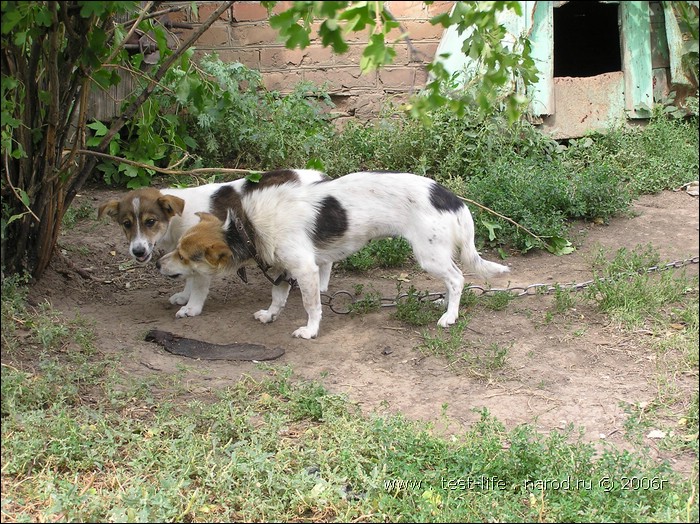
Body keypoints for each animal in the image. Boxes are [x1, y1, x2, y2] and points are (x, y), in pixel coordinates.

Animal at [98, 169, 330, 316]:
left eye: (150, 222)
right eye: (126, 224)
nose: (137, 251)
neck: (178, 219)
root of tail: (322, 176)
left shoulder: (202, 257)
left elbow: (198, 285)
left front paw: (192, 308)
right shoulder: (185, 255)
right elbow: (187, 276)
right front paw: (184, 296)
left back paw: (320, 286)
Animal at [157, 170, 508, 338]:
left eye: (185, 256)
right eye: (177, 249)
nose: (158, 263)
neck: (247, 225)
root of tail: (451, 197)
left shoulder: (305, 269)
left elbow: (311, 305)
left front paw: (311, 331)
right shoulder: (283, 269)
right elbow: (277, 297)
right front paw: (270, 315)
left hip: (429, 255)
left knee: (458, 279)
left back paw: (450, 315)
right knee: (453, 279)